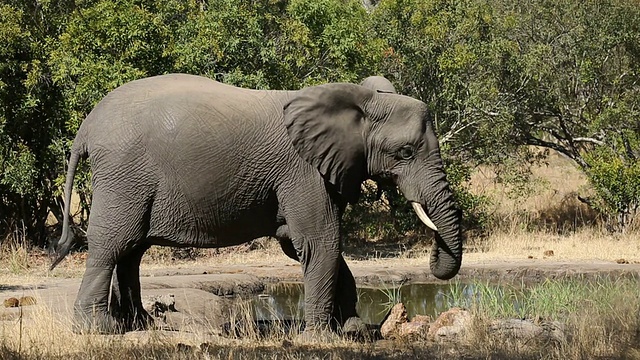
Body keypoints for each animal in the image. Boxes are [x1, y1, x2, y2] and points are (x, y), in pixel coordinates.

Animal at [48, 74, 460, 338]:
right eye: (405, 152)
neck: (360, 99)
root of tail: (87, 126)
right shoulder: (303, 171)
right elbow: (319, 243)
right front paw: (322, 339)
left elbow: (303, 245)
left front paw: (352, 328)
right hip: (124, 176)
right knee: (112, 245)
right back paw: (101, 330)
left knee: (131, 250)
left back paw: (140, 325)